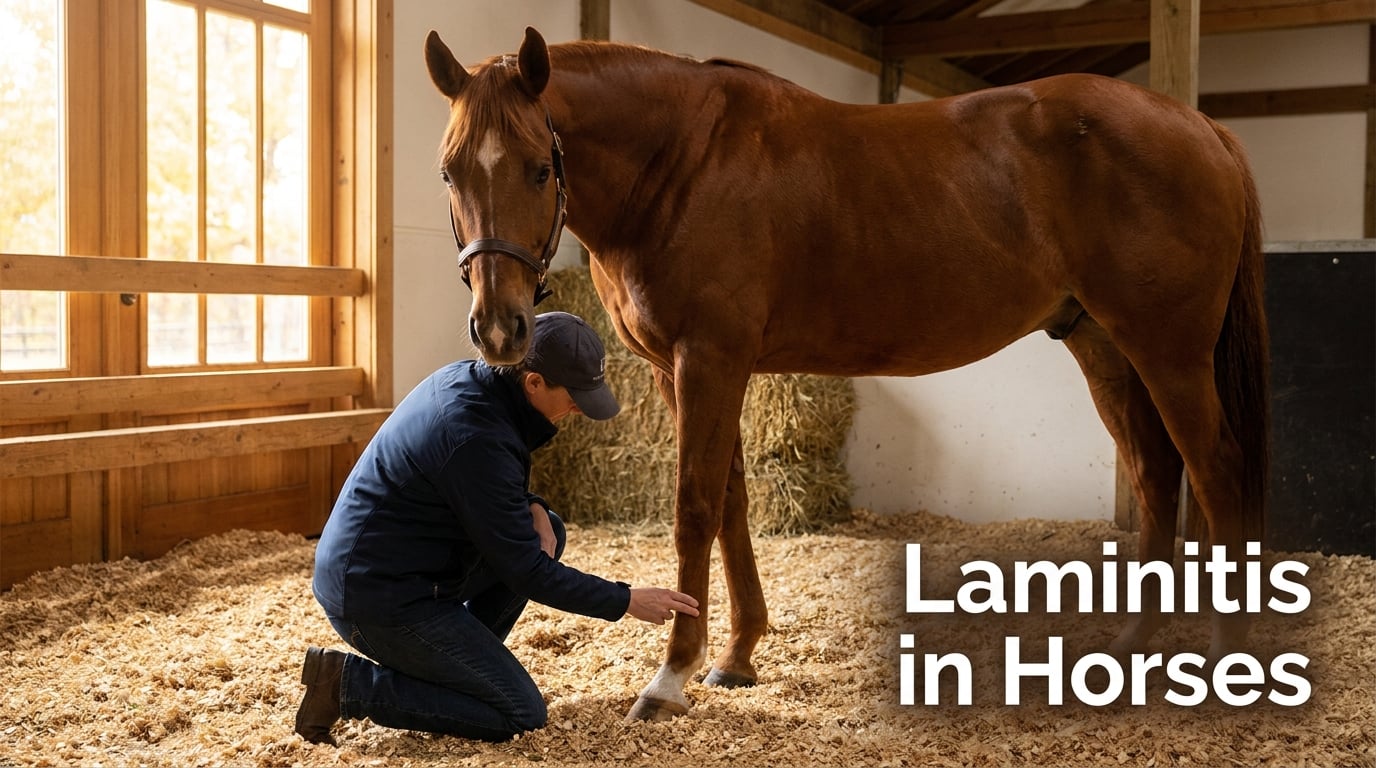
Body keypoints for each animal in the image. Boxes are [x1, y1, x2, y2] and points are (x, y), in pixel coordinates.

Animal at [423, 27, 1270, 721]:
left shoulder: (710, 359)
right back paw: (1131, 648)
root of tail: (1203, 127)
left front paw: (669, 679)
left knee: (1214, 470)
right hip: (1104, 346)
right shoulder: (682, 370)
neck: (683, 161)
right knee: (1157, 474)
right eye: (449, 172)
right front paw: (736, 657)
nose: (499, 328)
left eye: (540, 169)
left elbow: (694, 507)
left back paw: (1229, 657)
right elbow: (731, 502)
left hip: (1169, 351)